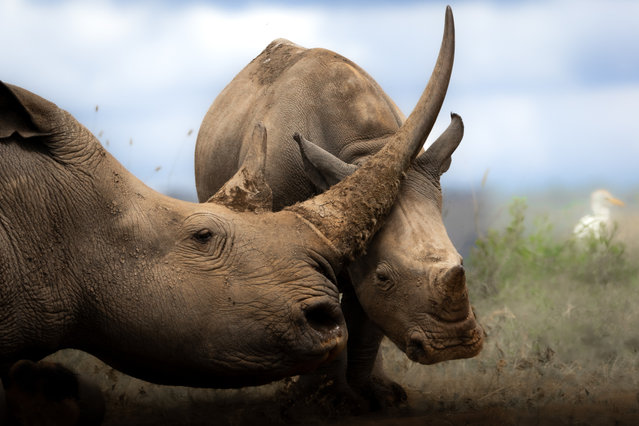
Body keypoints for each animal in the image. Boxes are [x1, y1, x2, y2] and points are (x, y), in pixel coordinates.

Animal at [195, 5, 484, 408]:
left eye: (462, 262)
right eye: (383, 277)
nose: (453, 347)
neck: (365, 151)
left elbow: (365, 320)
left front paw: (379, 397)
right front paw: (325, 400)